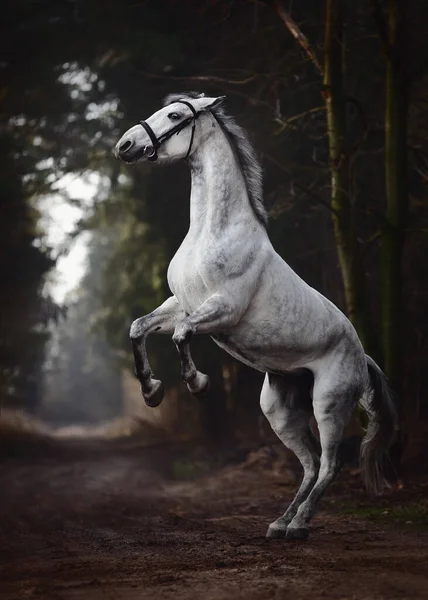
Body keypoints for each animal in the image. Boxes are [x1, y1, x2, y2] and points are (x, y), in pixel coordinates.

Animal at [114, 92, 398, 540]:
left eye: (175, 115)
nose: (125, 145)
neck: (213, 232)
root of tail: (362, 356)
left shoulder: (222, 310)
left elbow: (180, 335)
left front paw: (197, 383)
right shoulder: (181, 303)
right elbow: (139, 328)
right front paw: (152, 391)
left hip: (329, 402)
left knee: (330, 464)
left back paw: (298, 525)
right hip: (279, 409)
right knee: (310, 463)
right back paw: (280, 523)